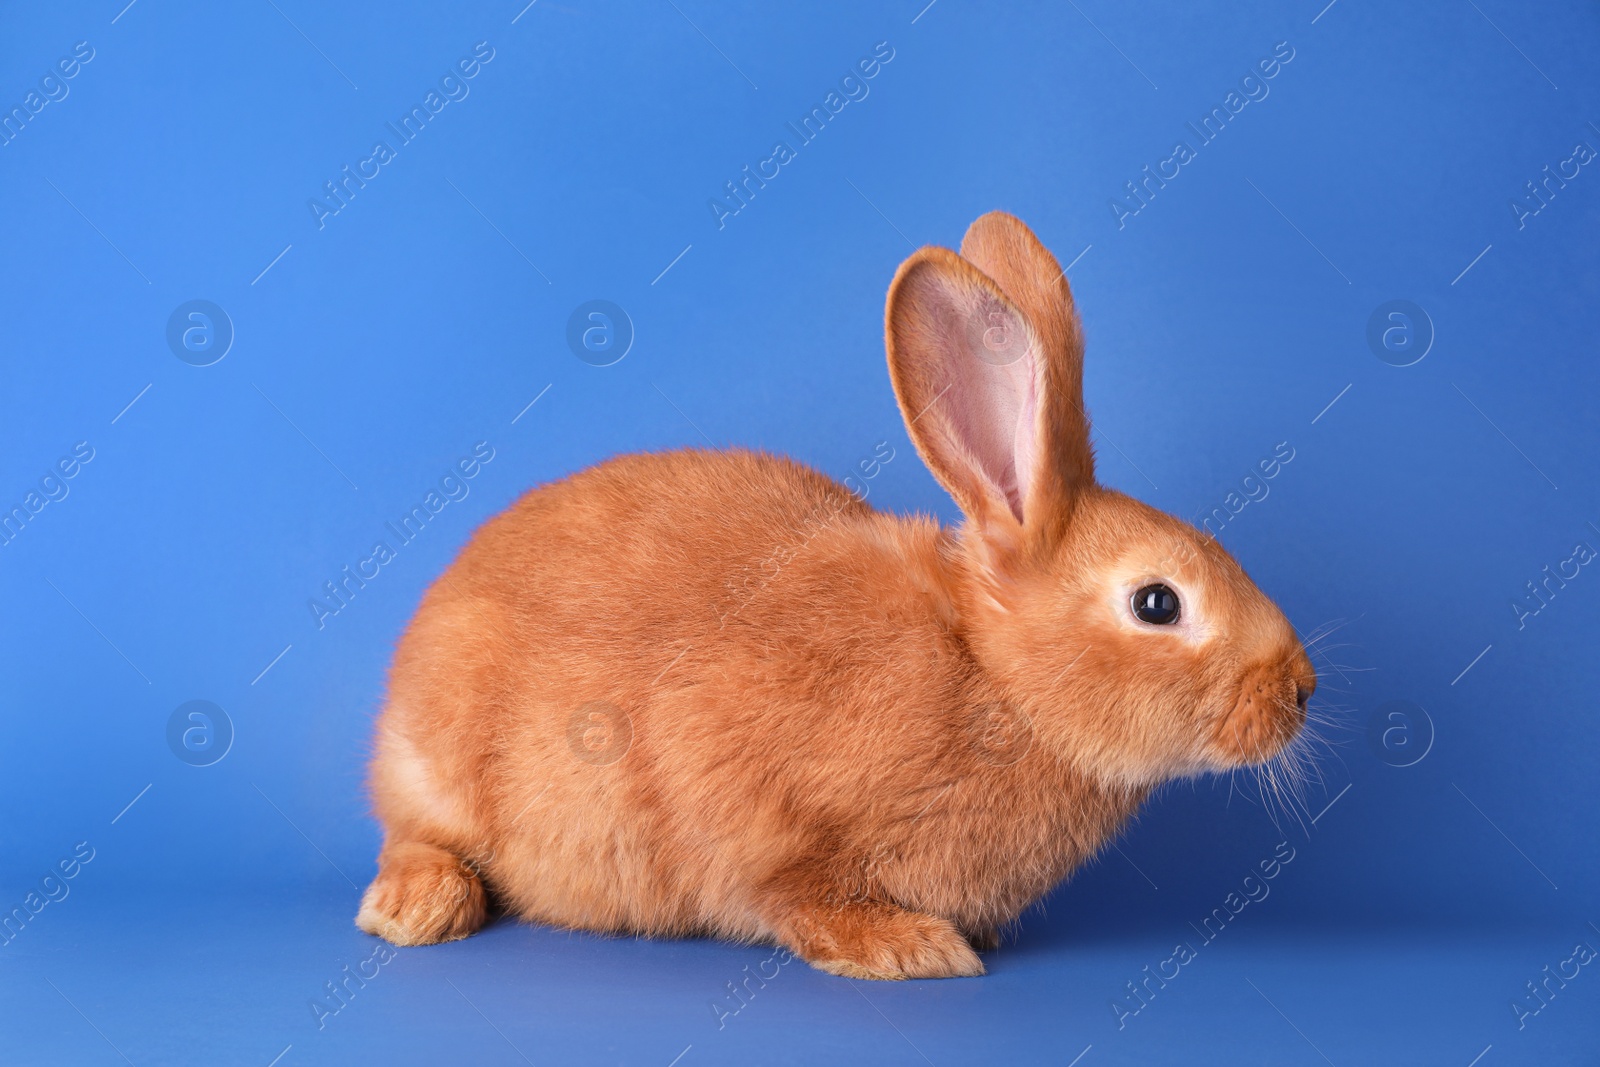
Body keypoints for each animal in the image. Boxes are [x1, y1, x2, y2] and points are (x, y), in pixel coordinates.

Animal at [360, 211, 1312, 985]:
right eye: (1158, 604)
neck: (994, 678)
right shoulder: (737, 788)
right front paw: (906, 948)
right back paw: (418, 908)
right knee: (414, 833)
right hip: (443, 769)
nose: (1300, 689)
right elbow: (792, 892)